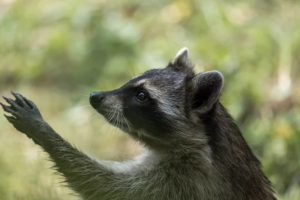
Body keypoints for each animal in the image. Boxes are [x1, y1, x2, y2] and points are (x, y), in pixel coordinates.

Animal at [1, 47, 276, 199]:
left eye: (142, 95)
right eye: (129, 82)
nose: (94, 96)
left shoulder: (188, 180)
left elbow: (108, 187)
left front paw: (45, 133)